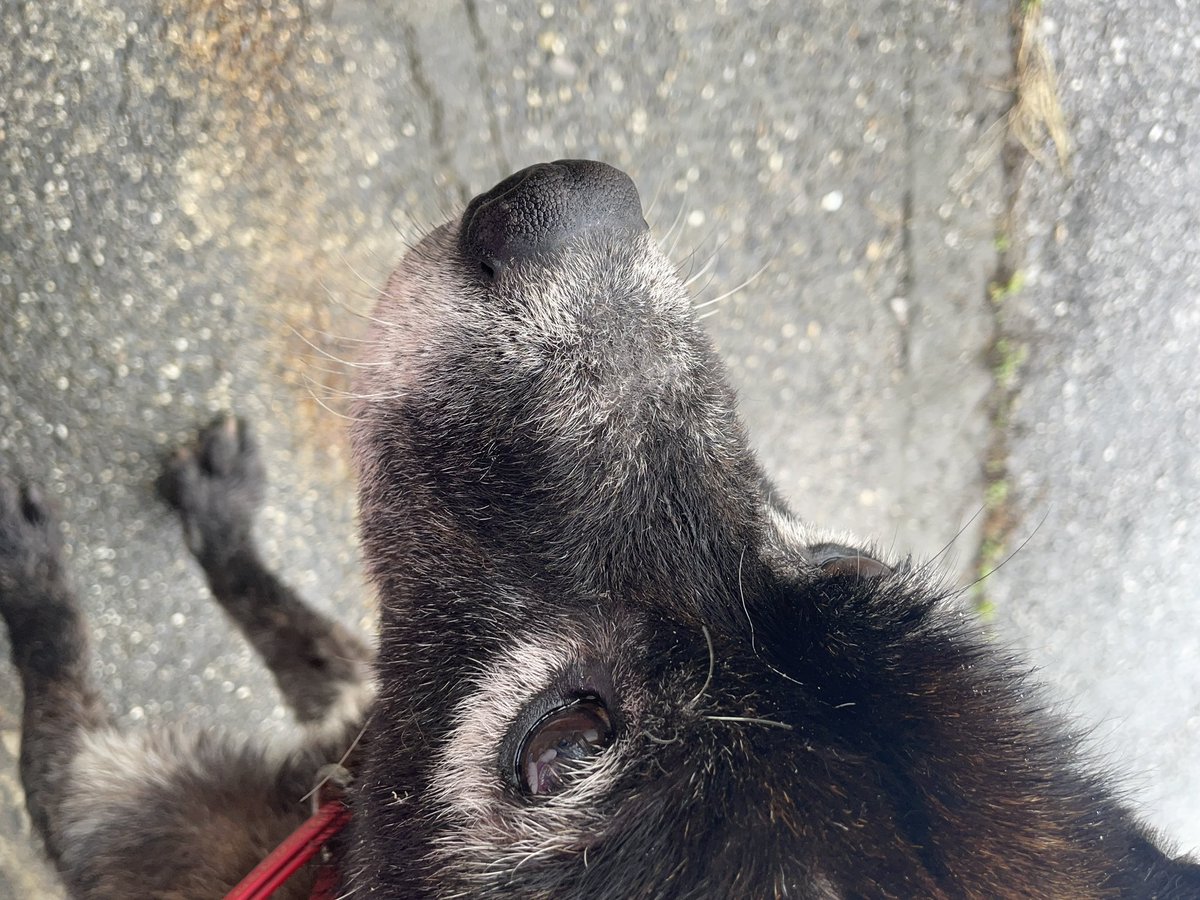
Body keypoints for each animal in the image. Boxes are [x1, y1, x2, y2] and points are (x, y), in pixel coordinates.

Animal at [2, 158, 1200, 897]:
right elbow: (279, 615)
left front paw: (24, 568)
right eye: (830, 556)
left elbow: (56, 668)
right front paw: (223, 517)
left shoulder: (110, 805)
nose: (568, 201)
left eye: (562, 744)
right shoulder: (347, 700)